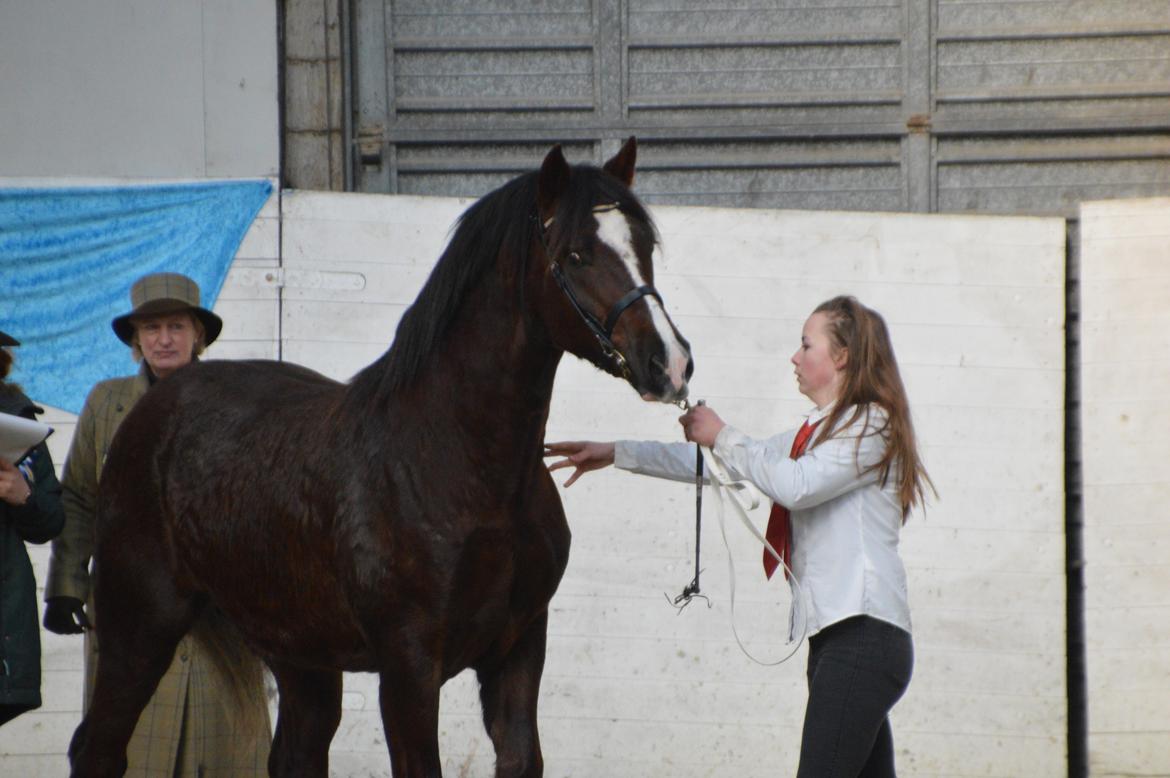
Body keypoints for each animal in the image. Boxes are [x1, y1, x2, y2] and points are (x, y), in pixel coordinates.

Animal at [70, 136, 692, 772]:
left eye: (643, 247)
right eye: (574, 256)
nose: (668, 363)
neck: (462, 465)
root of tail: (152, 407)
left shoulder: (518, 649)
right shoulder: (409, 667)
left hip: (299, 654)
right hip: (140, 630)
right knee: (99, 748)